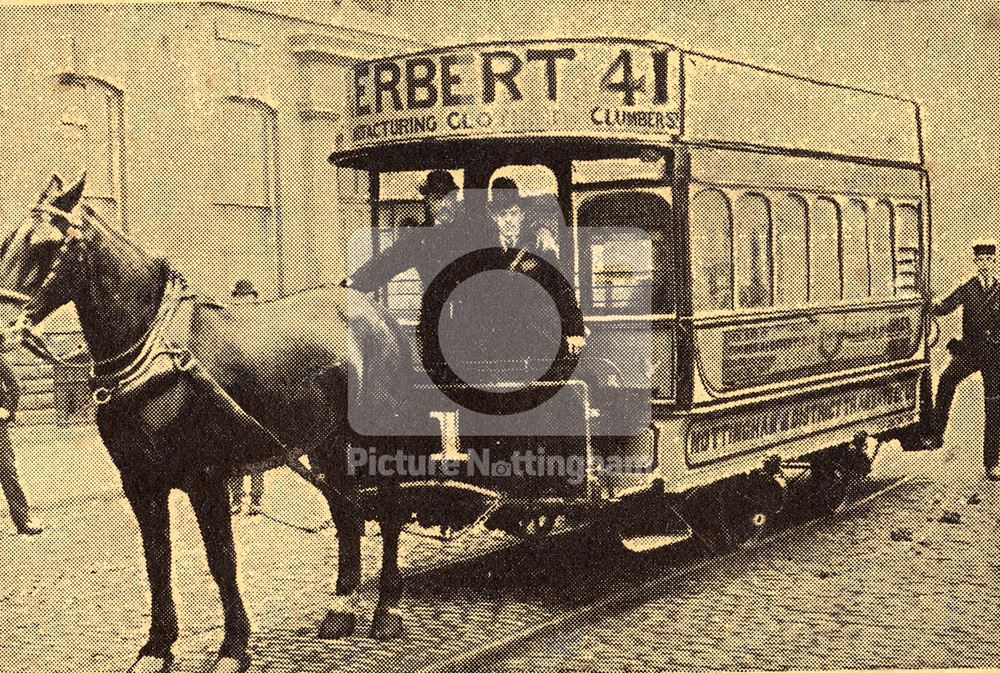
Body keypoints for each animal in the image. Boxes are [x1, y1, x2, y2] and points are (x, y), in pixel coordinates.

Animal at [0, 176, 418, 672]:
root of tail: (376, 314)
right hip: (327, 442)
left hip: (377, 436)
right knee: (346, 510)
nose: (3, 328)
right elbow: (156, 560)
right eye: (8, 238)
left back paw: (387, 607)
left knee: (388, 509)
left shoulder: (206, 478)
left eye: (45, 244)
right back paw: (341, 608)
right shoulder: (140, 481)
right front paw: (157, 646)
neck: (156, 355)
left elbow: (221, 559)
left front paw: (233, 645)